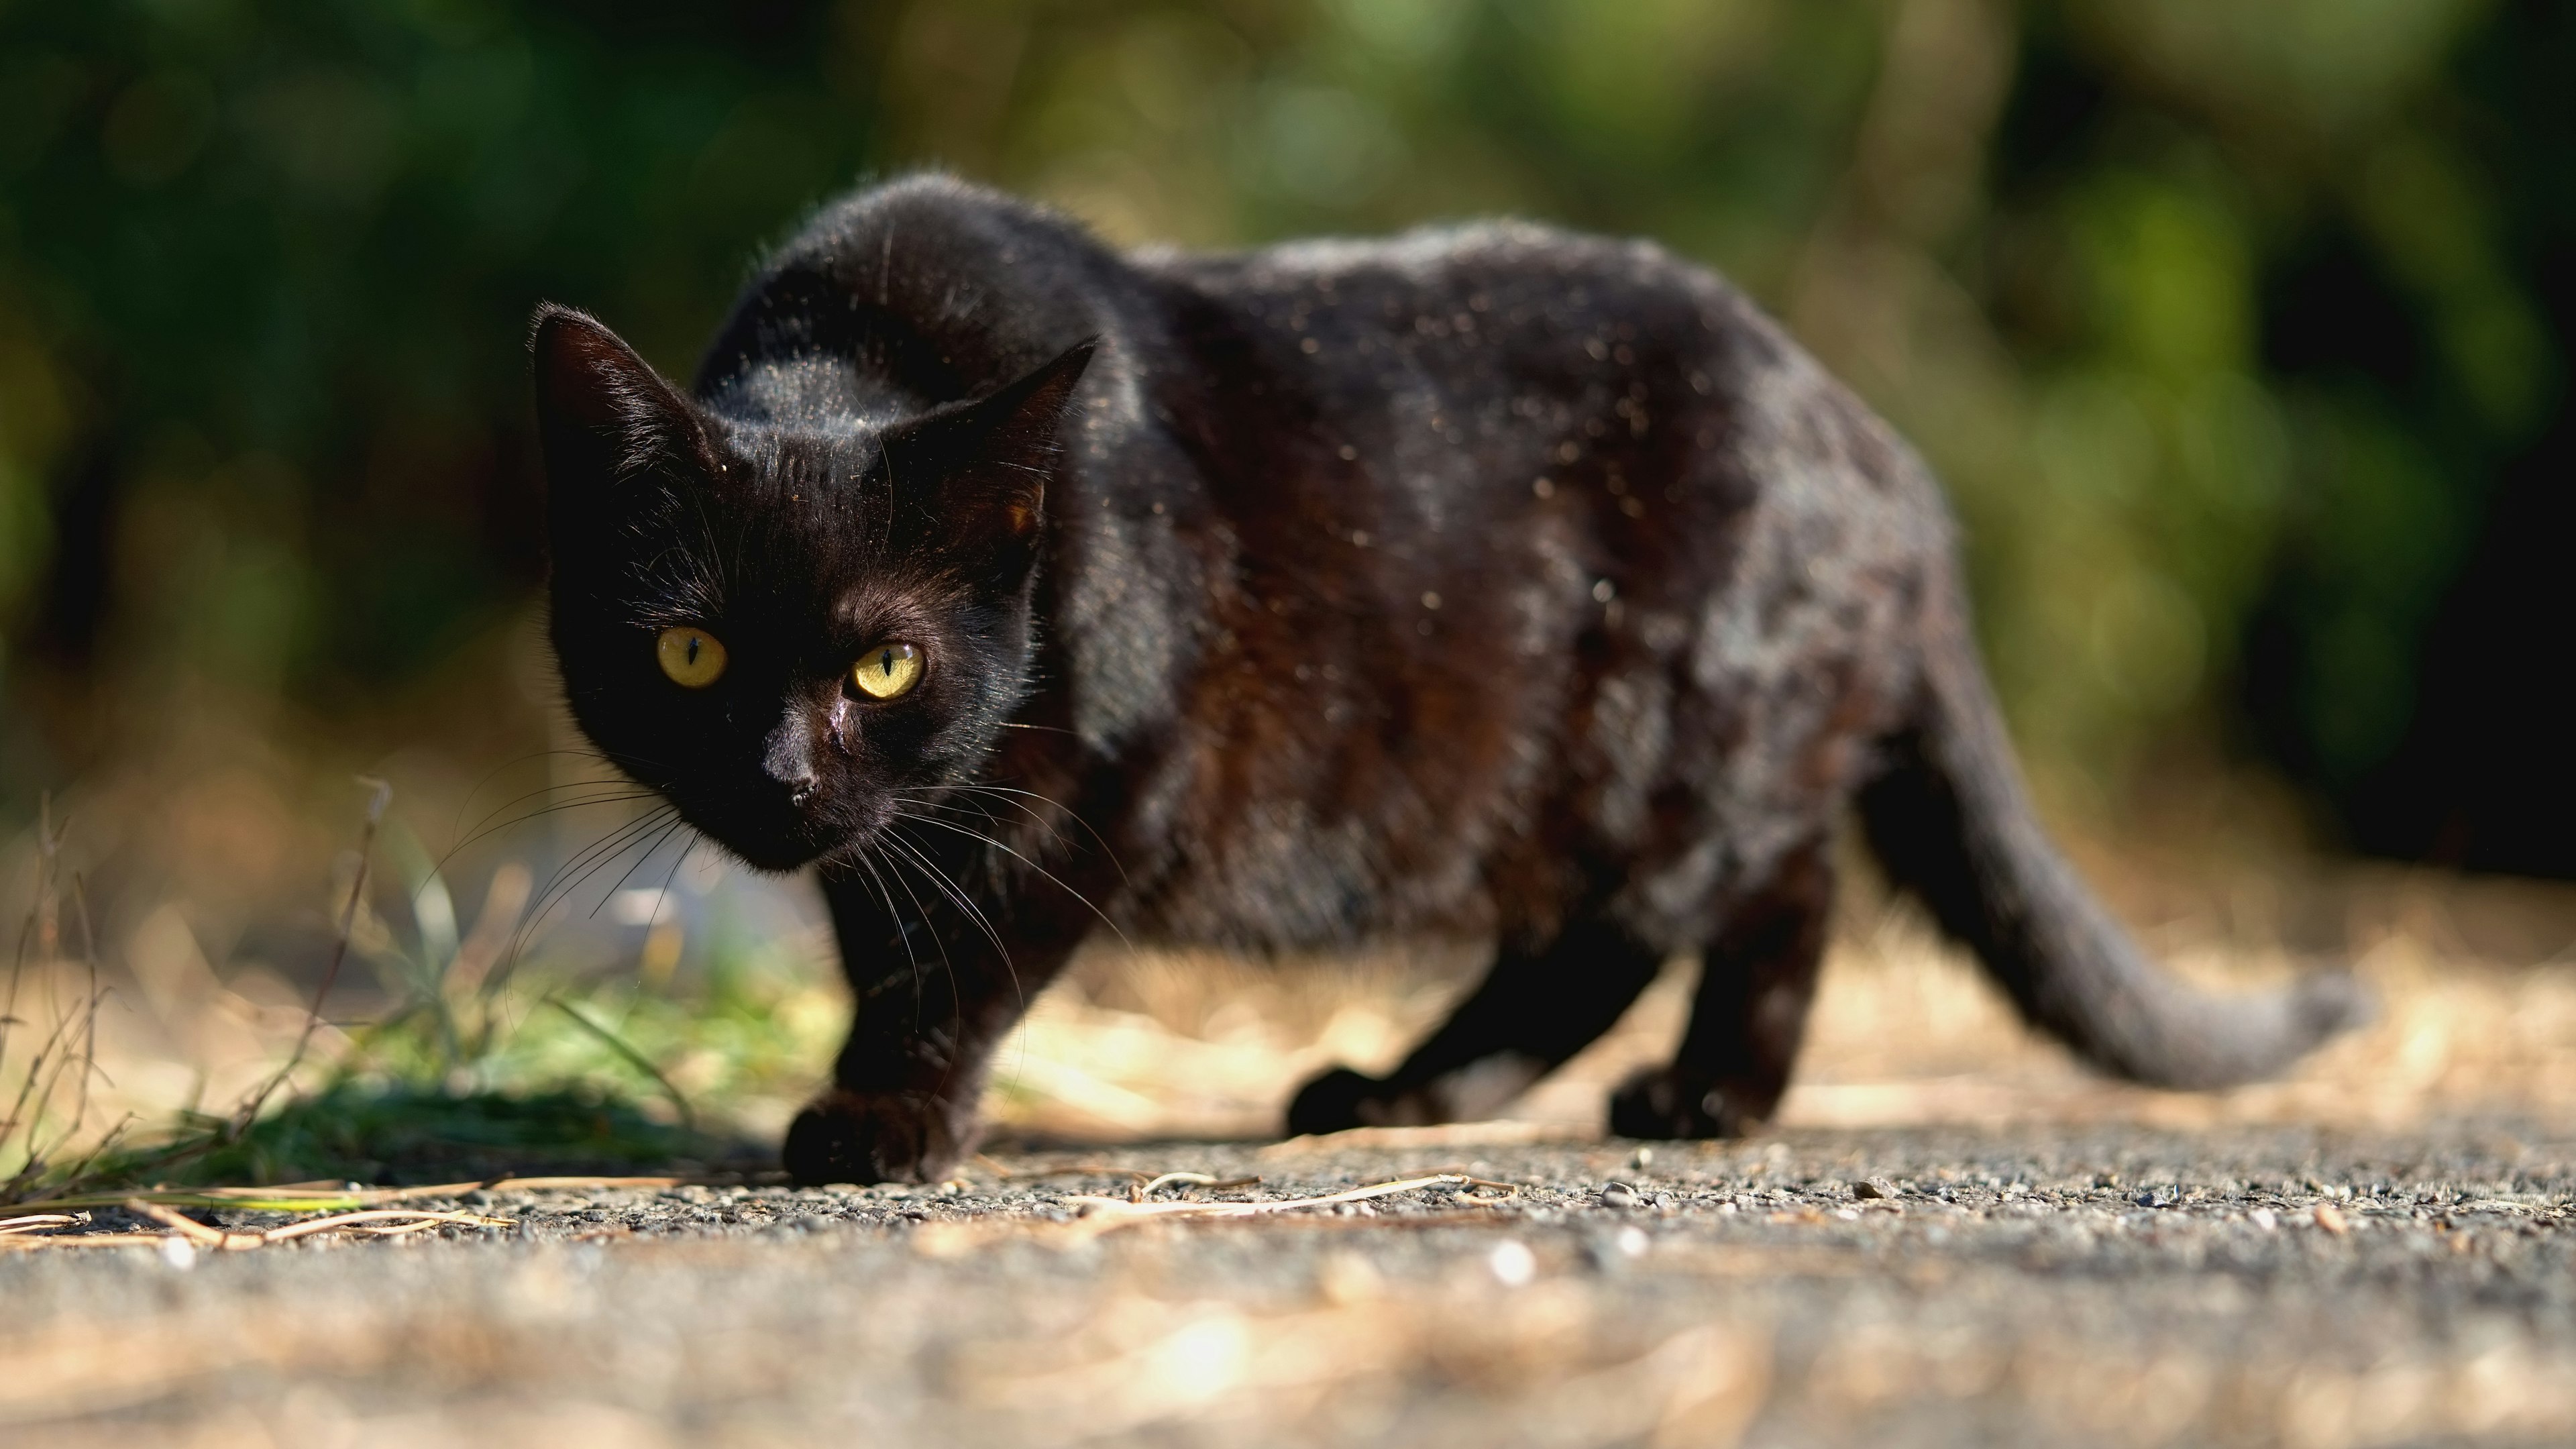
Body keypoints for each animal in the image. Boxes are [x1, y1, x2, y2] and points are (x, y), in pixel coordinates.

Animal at [533, 175, 2359, 1181]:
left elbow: (964, 964)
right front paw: (873, 1078)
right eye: (689, 650)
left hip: (1672, 743)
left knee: (1755, 891)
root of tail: (1881, 451)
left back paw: (1697, 1094)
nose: (778, 773)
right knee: (1635, 928)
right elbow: (892, 937)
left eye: (884, 658)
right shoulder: (909, 826)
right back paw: (1411, 1087)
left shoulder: (1105, 780)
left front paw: (886, 1117)